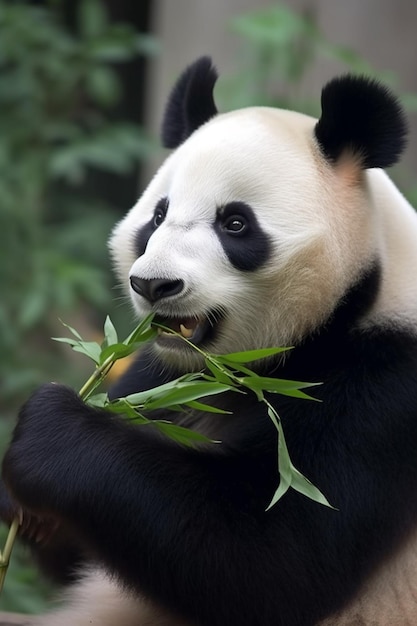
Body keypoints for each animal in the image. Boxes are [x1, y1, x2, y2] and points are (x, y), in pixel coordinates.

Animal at [2, 56, 416, 620]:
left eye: (235, 223)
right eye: (157, 215)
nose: (154, 284)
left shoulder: (387, 390)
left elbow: (270, 558)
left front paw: (47, 432)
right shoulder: (161, 374)